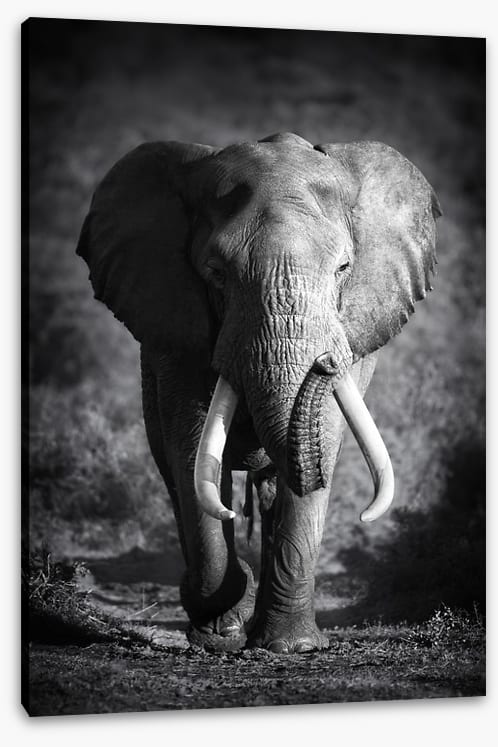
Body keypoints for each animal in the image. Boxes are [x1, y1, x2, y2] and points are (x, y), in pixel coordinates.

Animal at [77, 132, 441, 654]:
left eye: (343, 268)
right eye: (216, 272)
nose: (326, 362)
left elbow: (323, 441)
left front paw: (292, 647)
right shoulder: (176, 331)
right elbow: (192, 451)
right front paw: (222, 629)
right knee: (175, 473)